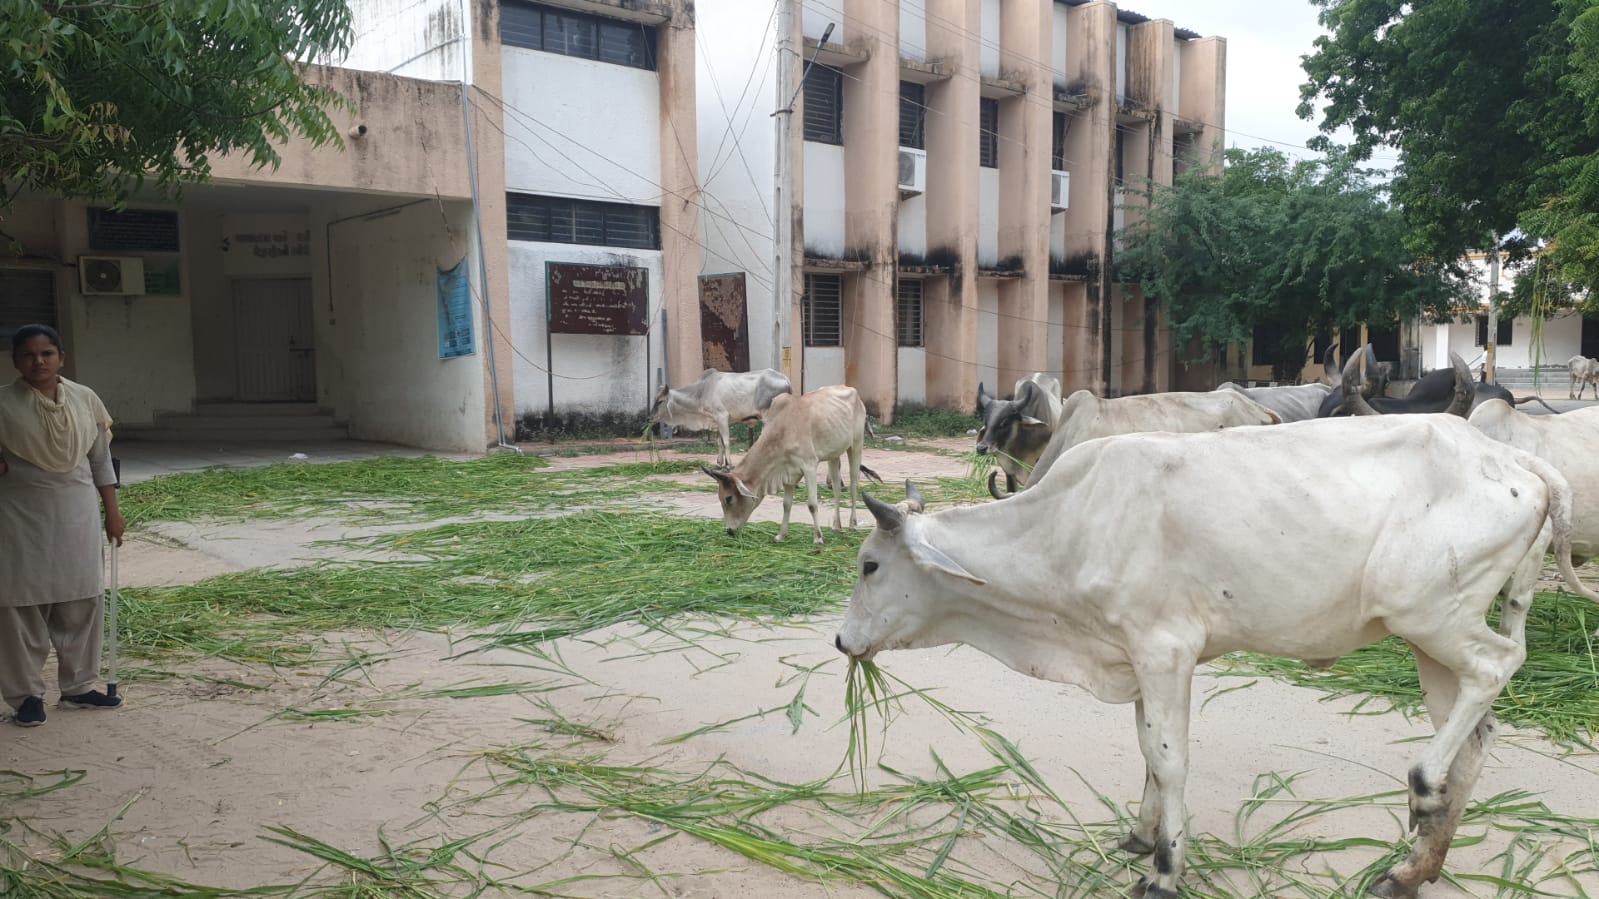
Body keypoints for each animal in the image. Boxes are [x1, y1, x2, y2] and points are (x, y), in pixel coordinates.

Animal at [655, 366, 793, 463]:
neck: (702, 391)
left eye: (660, 401)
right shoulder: (715, 422)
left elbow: (726, 441)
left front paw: (729, 465)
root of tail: (785, 379)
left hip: (768, 418)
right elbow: (719, 442)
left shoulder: (722, 417)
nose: (650, 417)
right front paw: (721, 463)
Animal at [703, 380, 869, 543]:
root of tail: (853, 391)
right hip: (833, 454)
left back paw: (852, 525)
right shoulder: (789, 472)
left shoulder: (809, 466)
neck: (783, 429)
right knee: (836, 487)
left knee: (854, 485)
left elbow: (812, 504)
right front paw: (781, 535)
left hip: (856, 444)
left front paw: (818, 537)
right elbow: (786, 504)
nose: (730, 531)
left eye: (729, 498)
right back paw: (836, 526)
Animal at [837, 415, 1599, 895]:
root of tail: (1515, 460)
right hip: (1430, 639)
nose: (841, 640)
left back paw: (1420, 785)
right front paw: (1140, 836)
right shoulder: (1136, 657)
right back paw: (1413, 868)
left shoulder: (1164, 649)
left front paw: (1164, 870)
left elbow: (1169, 759)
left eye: (870, 564)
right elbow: (1147, 751)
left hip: (1429, 615)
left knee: (1495, 666)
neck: (1065, 526)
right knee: (1476, 730)